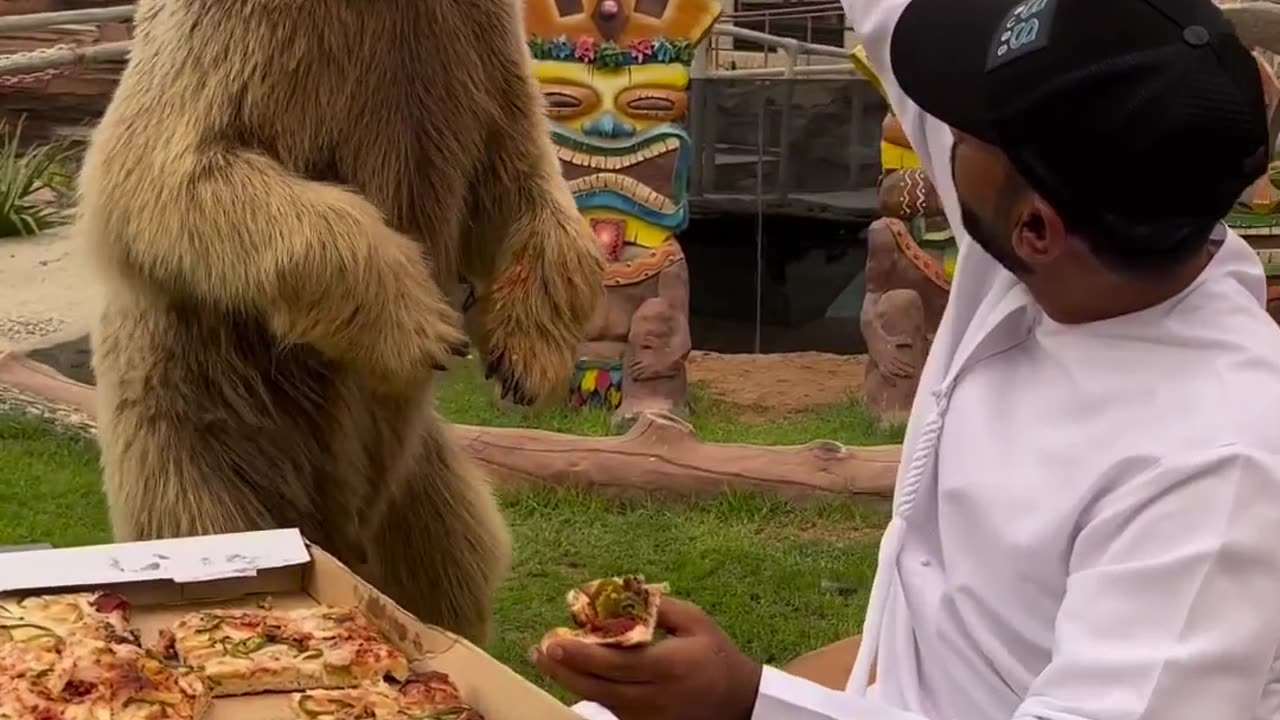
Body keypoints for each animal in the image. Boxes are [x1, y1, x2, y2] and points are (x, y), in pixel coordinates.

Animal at [74, 0, 604, 640]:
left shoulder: (476, 49)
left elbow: (520, 171)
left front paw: (525, 358)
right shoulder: (238, 41)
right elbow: (165, 167)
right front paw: (422, 325)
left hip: (417, 480)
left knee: (454, 557)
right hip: (198, 440)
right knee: (205, 516)